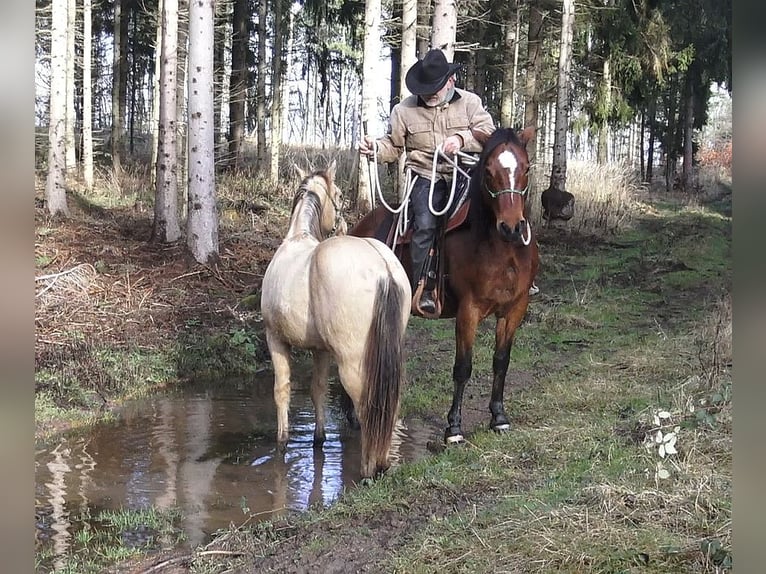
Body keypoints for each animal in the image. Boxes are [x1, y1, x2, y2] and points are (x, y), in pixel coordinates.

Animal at [260, 161, 412, 479]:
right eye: (340, 195)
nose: (343, 224)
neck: (297, 238)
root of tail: (382, 268)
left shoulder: (275, 339)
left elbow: (282, 390)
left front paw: (282, 442)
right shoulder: (320, 350)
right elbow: (318, 391)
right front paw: (318, 439)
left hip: (353, 362)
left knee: (367, 405)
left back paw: (369, 467)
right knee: (392, 403)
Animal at [350, 127, 539, 444]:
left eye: (525, 168)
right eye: (489, 171)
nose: (511, 227)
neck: (503, 250)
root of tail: (357, 229)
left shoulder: (515, 308)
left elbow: (501, 360)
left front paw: (498, 417)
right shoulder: (468, 310)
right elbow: (463, 367)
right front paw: (454, 428)